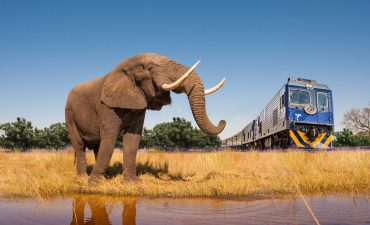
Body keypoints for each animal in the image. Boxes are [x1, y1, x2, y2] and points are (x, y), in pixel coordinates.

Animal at [66, 53, 225, 184]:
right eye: (151, 67)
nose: (223, 121)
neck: (127, 65)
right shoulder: (105, 105)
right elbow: (110, 139)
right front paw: (94, 184)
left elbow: (132, 139)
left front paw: (133, 183)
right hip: (69, 114)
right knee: (80, 145)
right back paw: (83, 179)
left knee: (97, 146)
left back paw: (102, 177)